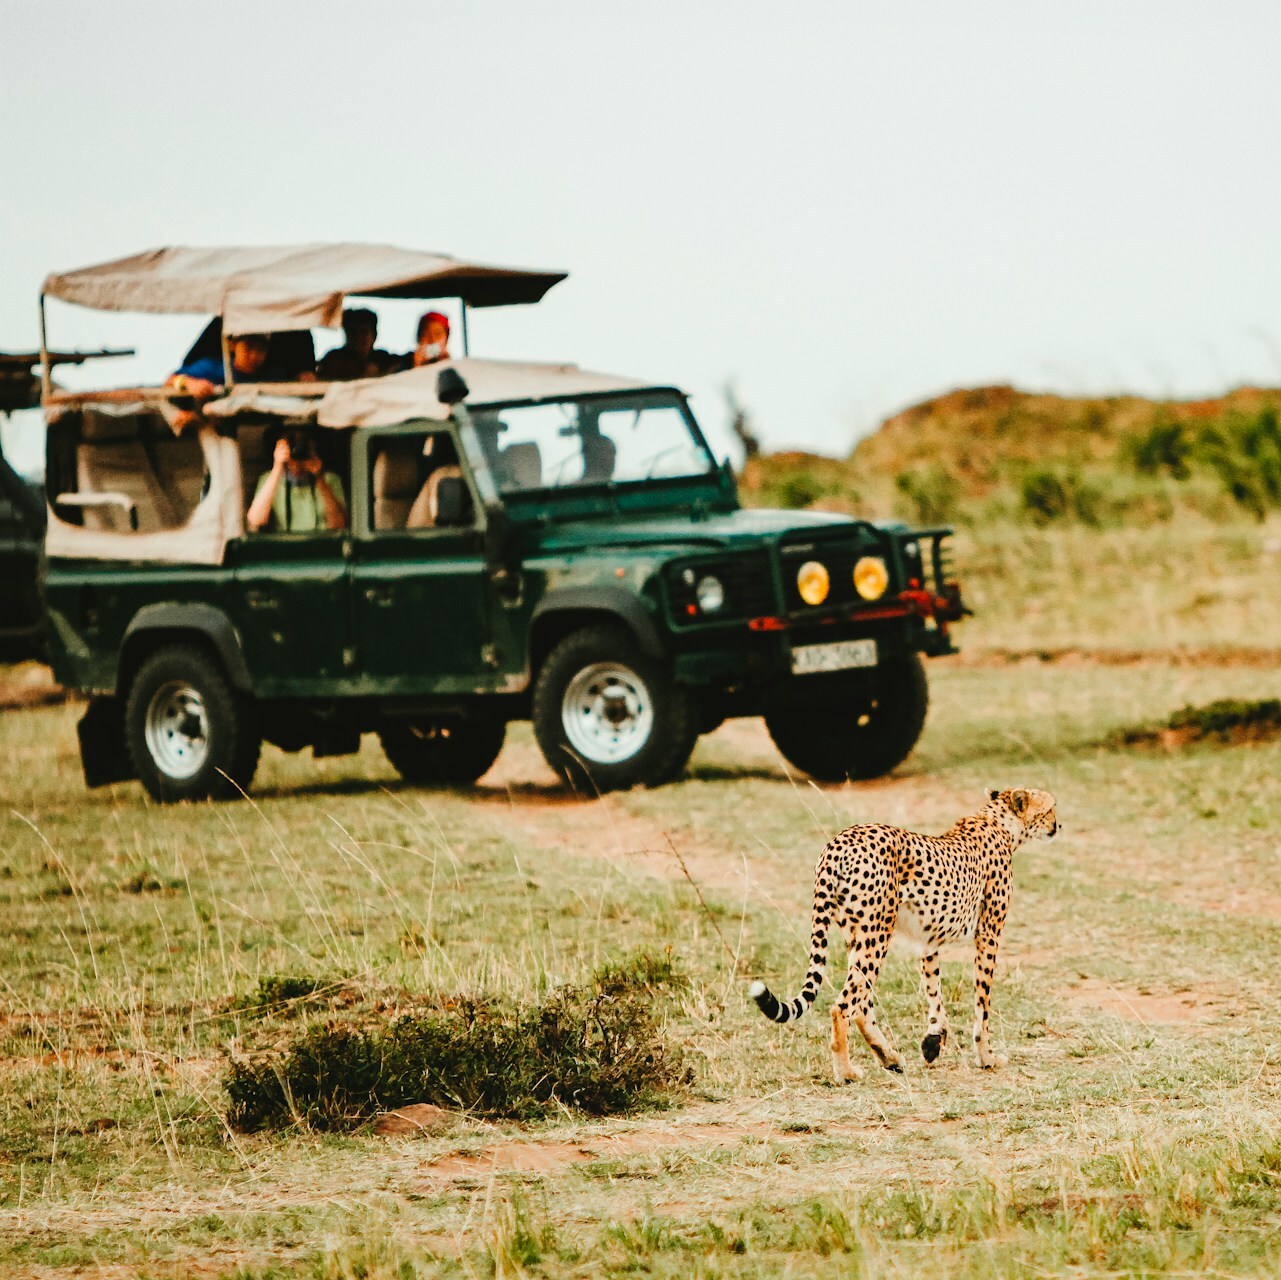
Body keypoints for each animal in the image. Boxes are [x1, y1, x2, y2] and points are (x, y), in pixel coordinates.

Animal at [749, 787, 1058, 1081]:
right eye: (1051, 808)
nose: (1058, 825)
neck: (998, 822)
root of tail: (839, 842)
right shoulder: (989, 934)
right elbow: (982, 1003)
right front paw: (987, 1057)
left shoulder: (929, 941)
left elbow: (934, 990)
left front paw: (933, 1040)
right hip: (877, 933)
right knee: (844, 1005)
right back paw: (846, 1072)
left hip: (857, 934)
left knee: (861, 1004)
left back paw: (889, 1058)